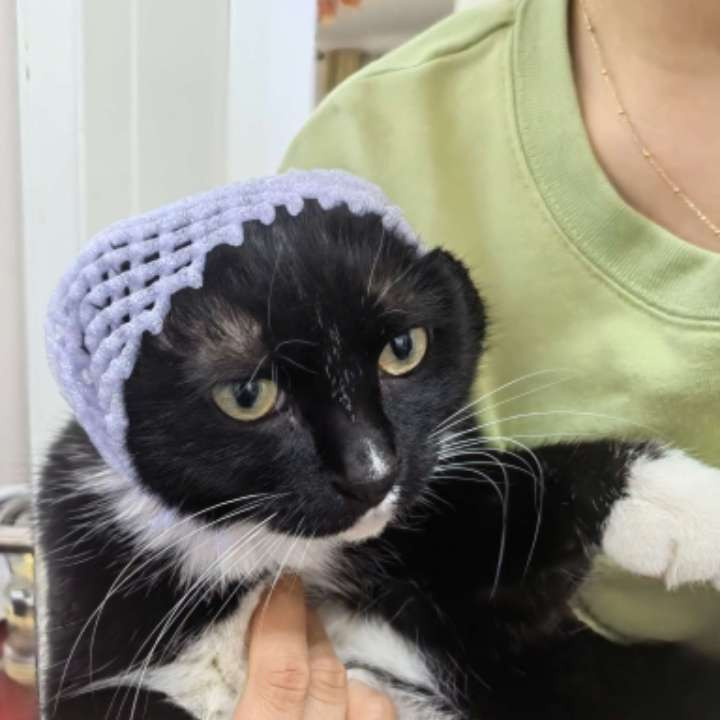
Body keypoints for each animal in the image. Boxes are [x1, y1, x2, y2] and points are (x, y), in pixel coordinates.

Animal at [37, 200, 720, 719]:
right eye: (247, 396)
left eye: (403, 349)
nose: (371, 473)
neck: (273, 555)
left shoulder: (484, 623)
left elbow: (515, 522)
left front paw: (685, 504)